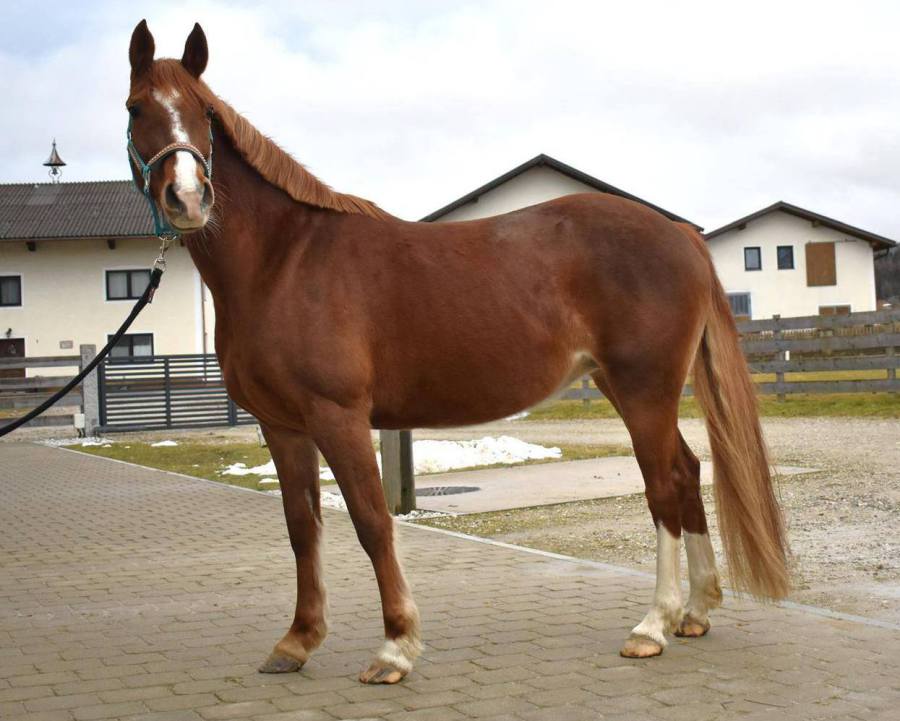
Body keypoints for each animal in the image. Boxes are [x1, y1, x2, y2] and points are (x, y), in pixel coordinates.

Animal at [125, 20, 789, 684]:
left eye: (205, 115)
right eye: (136, 109)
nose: (188, 198)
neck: (283, 261)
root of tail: (679, 234)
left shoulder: (338, 417)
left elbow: (371, 522)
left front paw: (395, 647)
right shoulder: (282, 426)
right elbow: (301, 527)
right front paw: (297, 641)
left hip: (644, 388)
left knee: (664, 486)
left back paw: (653, 625)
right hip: (625, 387)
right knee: (688, 473)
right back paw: (695, 612)